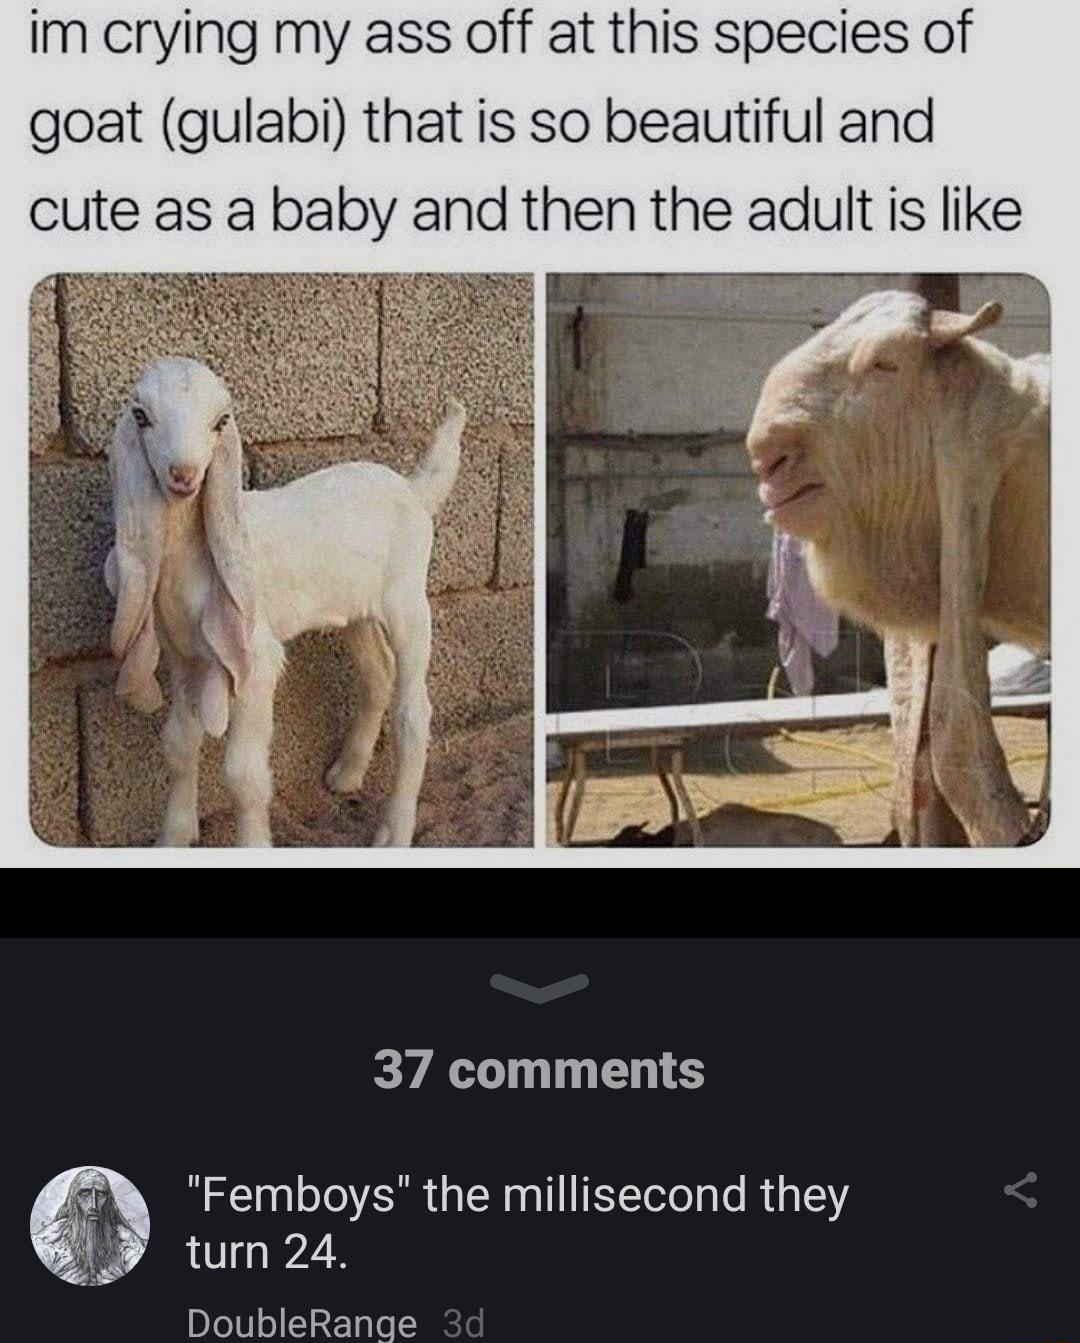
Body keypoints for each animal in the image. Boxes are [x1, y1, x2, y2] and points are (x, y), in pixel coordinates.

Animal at [104, 356, 465, 847]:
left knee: (413, 712)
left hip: (408, 600)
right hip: (356, 609)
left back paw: (394, 831)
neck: (193, 554)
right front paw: (173, 838)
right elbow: (178, 745)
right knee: (377, 677)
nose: (184, 475)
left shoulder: (253, 658)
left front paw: (252, 842)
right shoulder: (185, 656)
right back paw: (347, 775)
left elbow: (243, 776)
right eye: (140, 416)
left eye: (221, 421)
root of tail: (413, 489)